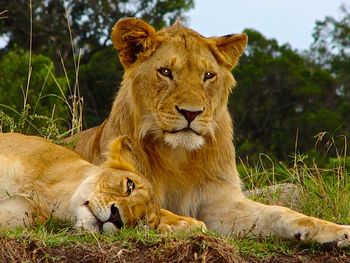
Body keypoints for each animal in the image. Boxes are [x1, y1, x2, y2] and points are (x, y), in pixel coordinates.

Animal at [67, 18, 350, 248]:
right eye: (166, 72)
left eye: (208, 75)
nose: (191, 113)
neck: (178, 156)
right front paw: (183, 223)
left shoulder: (221, 205)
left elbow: (279, 212)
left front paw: (336, 232)